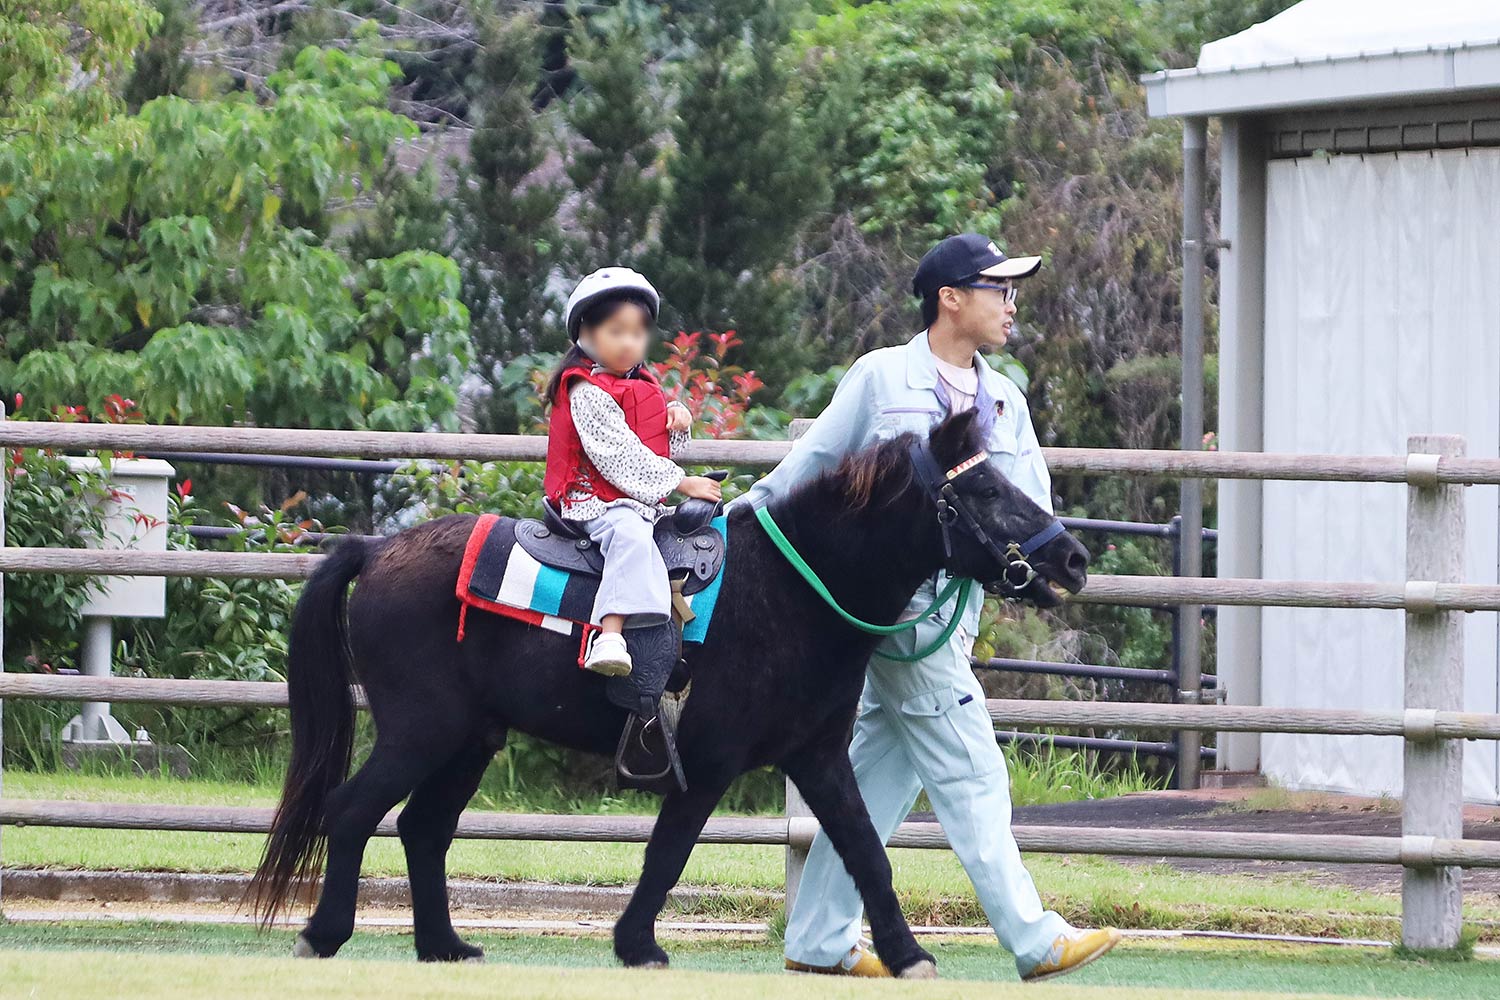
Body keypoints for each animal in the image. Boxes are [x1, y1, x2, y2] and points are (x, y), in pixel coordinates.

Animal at [248, 408, 1090, 977]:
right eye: (986, 488)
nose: (1074, 559)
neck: (791, 589)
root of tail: (375, 549)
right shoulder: (708, 762)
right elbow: (668, 854)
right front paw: (637, 943)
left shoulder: (818, 757)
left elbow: (864, 851)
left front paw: (907, 951)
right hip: (419, 730)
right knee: (352, 810)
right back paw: (324, 934)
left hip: (468, 740)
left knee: (424, 829)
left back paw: (444, 945)